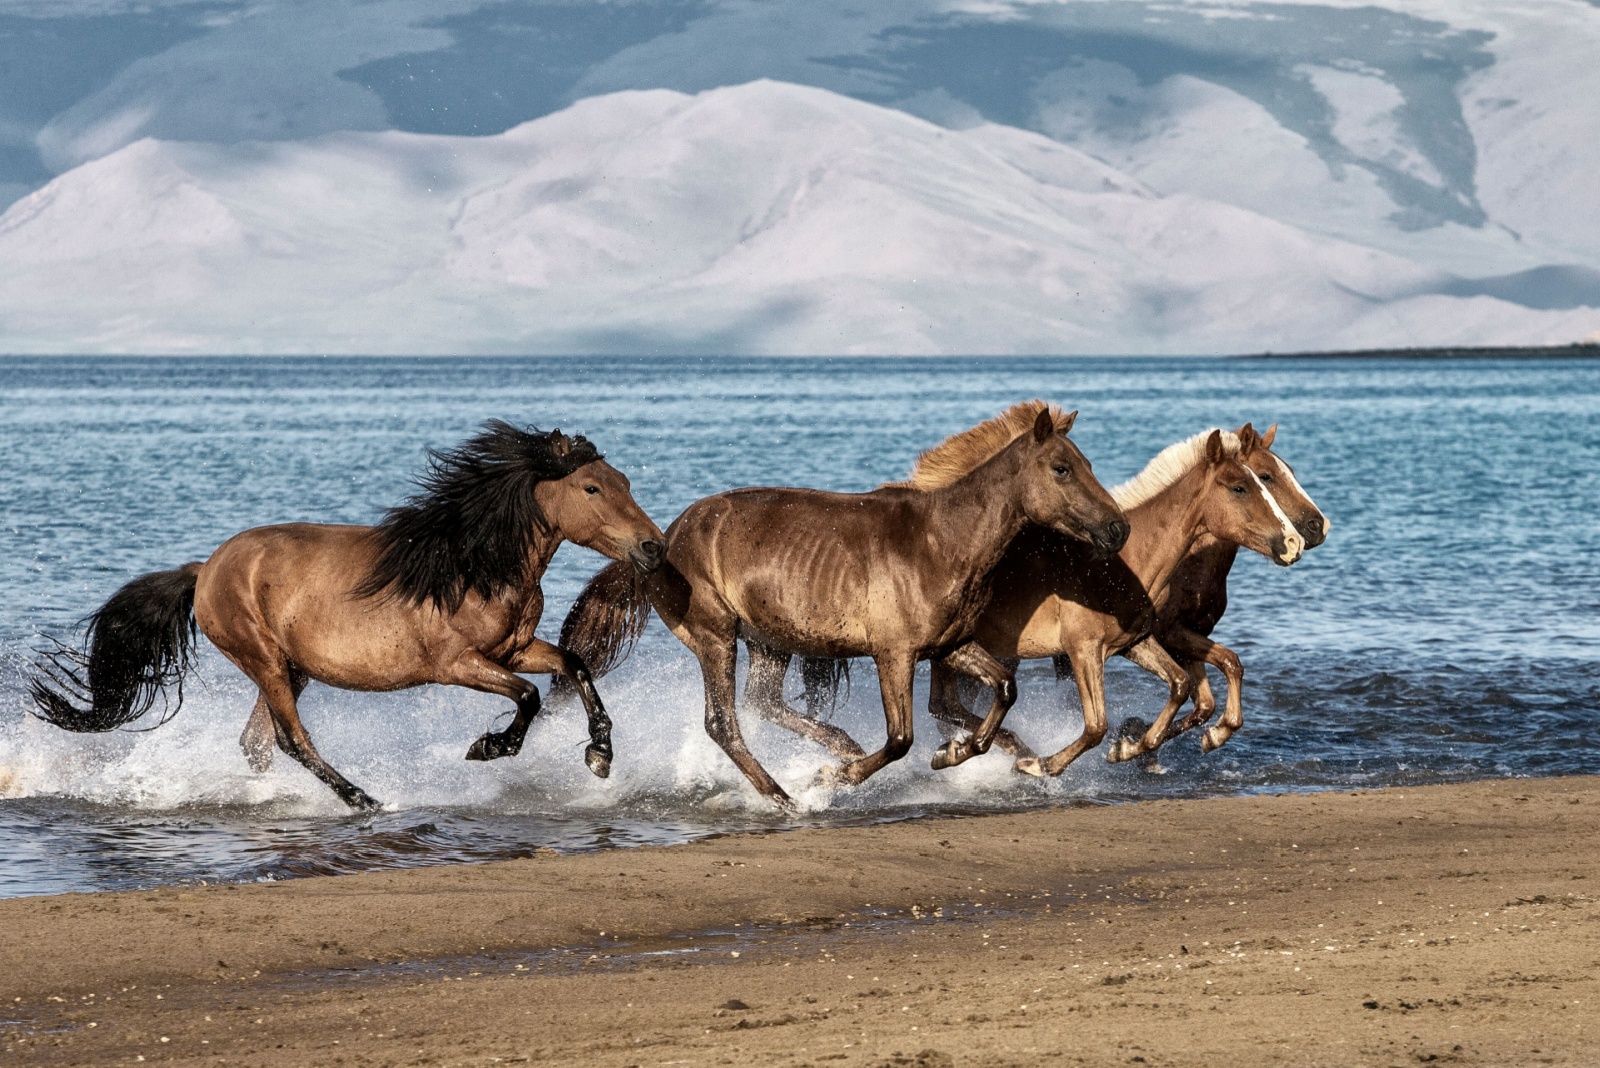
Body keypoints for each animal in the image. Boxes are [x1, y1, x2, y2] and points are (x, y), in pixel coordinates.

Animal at [31, 422, 668, 808]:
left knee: (257, 742)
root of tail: (205, 570)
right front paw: (487, 748)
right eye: (591, 488)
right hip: (263, 660)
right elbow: (530, 698)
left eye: (622, 481)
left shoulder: (513, 649)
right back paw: (363, 799)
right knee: (290, 740)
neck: (472, 565)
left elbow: (576, 665)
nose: (653, 547)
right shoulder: (457, 664)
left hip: (291, 669)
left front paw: (600, 755)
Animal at [556, 404, 1132, 805]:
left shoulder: (949, 645)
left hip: (770, 641)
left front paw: (954, 753)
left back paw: (838, 749)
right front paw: (838, 778)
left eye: (1084, 463)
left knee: (763, 703)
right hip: (715, 636)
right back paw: (788, 796)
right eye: (1061, 469)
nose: (1117, 529)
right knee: (724, 722)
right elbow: (900, 738)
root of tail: (659, 542)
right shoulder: (894, 653)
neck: (942, 541)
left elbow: (1005, 689)